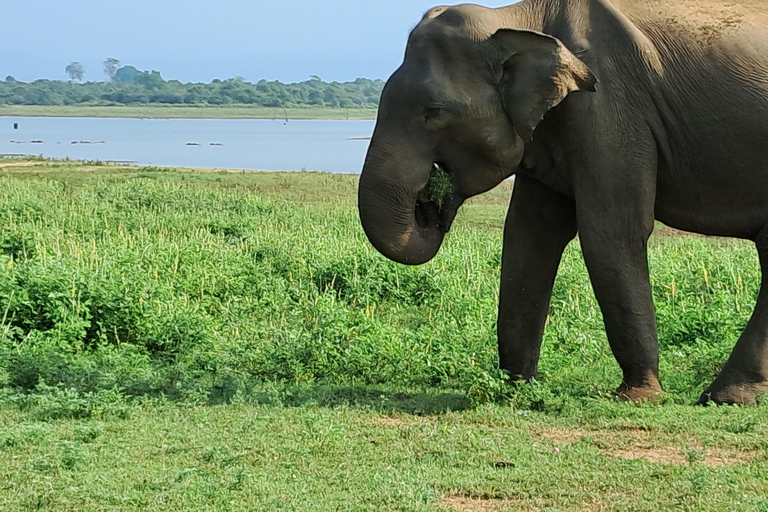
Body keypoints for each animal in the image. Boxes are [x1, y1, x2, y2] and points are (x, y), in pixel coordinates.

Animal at [356, 1, 768, 408]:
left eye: (434, 111)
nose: (430, 204)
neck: (516, 17)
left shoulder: (607, 108)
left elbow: (610, 231)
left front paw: (639, 397)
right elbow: (529, 237)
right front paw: (517, 388)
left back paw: (721, 397)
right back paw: (728, 396)